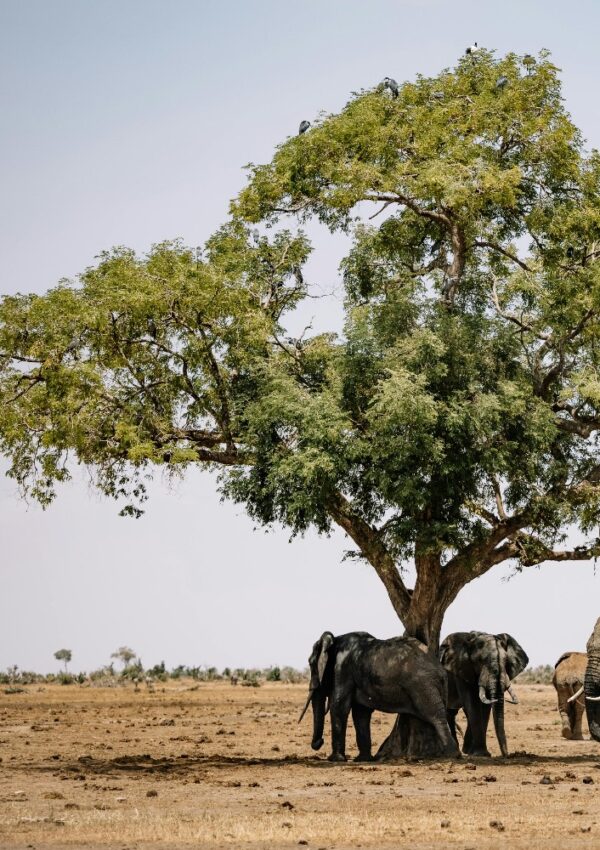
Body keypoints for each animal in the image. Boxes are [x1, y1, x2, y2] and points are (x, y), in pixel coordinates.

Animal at [299, 631, 459, 762]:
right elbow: (361, 713)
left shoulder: (342, 668)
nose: (319, 742)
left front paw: (335, 760)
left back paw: (451, 755)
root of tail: (440, 669)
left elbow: (339, 706)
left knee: (436, 716)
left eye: (311, 663)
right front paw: (363, 760)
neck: (335, 640)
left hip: (423, 684)